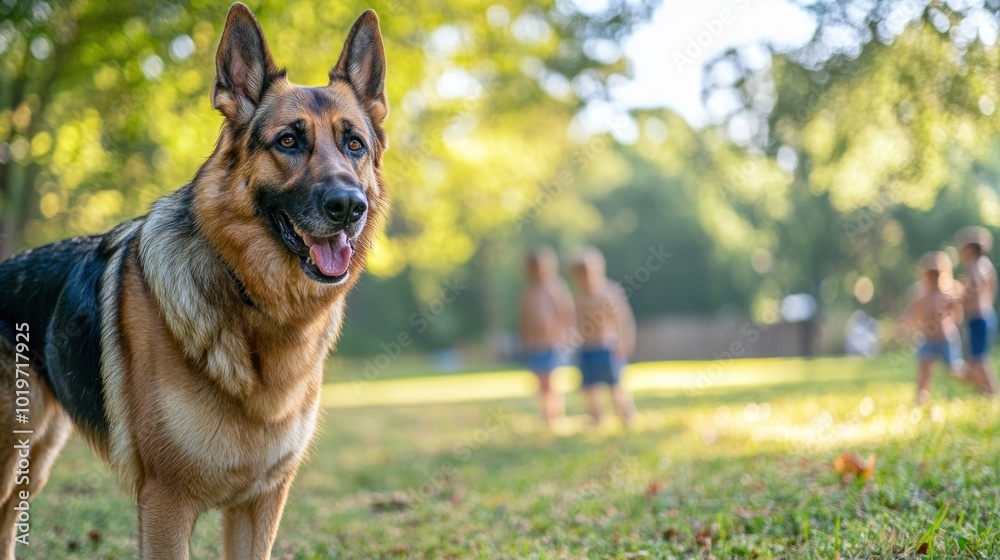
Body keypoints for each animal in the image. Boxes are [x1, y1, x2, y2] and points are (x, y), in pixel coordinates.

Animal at [0, 3, 386, 556]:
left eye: (354, 144)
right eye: (289, 141)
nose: (349, 207)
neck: (250, 300)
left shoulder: (259, 504)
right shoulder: (165, 503)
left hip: (37, 451)